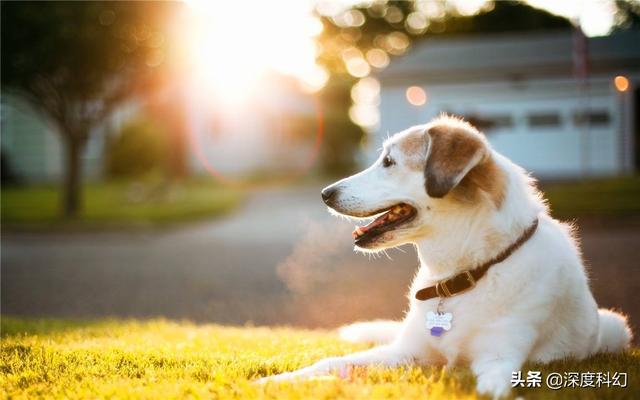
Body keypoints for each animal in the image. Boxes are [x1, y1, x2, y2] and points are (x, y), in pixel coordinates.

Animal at [258, 115, 632, 396]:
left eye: (389, 162)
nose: (325, 193)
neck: (463, 275)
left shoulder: (499, 356)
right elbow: (330, 363)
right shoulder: (406, 352)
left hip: (615, 326)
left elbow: (492, 387)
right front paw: (276, 381)